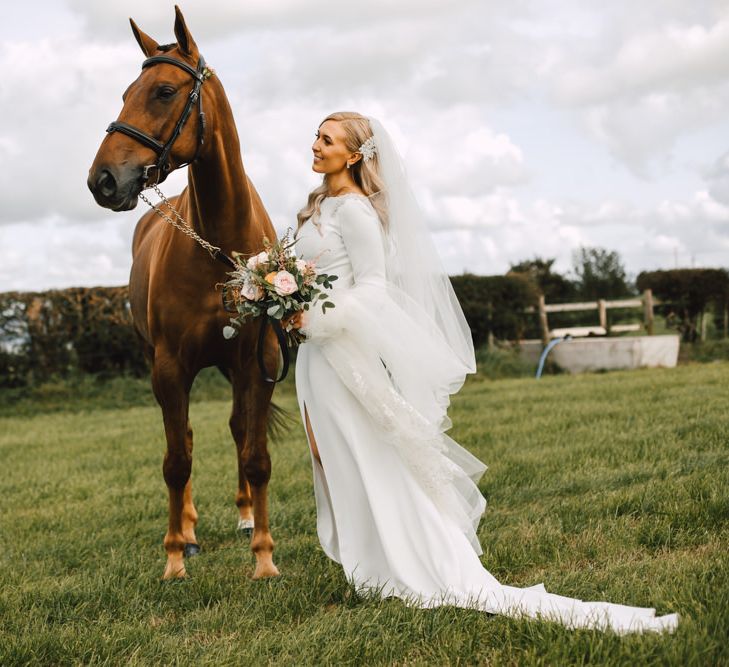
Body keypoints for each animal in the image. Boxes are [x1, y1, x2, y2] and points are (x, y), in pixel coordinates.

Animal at [86, 5, 278, 580]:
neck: (218, 243)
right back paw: (190, 532)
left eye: (165, 91)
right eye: (126, 91)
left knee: (237, 431)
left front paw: (264, 557)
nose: (103, 180)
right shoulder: (169, 368)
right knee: (187, 441)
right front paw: (174, 555)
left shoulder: (256, 362)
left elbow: (256, 455)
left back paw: (244, 519)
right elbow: (177, 460)